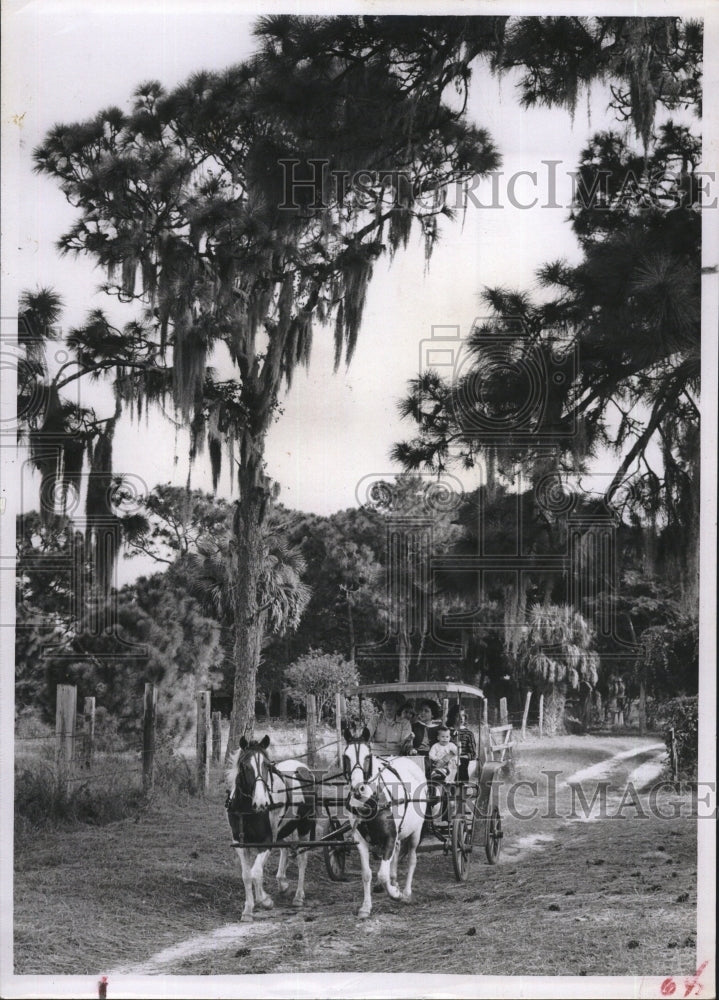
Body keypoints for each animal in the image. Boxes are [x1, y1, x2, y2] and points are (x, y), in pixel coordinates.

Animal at [225, 736, 316, 920]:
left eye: (267, 765)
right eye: (245, 766)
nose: (261, 802)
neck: (246, 809)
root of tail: (303, 767)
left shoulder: (266, 841)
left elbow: (256, 872)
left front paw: (265, 901)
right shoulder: (240, 843)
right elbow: (247, 875)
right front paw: (248, 910)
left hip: (304, 826)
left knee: (302, 858)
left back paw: (298, 896)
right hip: (283, 829)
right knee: (285, 849)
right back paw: (282, 882)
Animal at [344, 724, 428, 916]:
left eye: (367, 756)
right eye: (346, 757)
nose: (358, 789)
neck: (371, 800)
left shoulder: (389, 836)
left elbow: (382, 875)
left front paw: (396, 894)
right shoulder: (360, 840)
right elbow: (367, 873)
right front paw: (366, 906)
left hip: (416, 831)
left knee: (412, 858)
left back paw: (406, 892)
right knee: (396, 854)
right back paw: (394, 881)